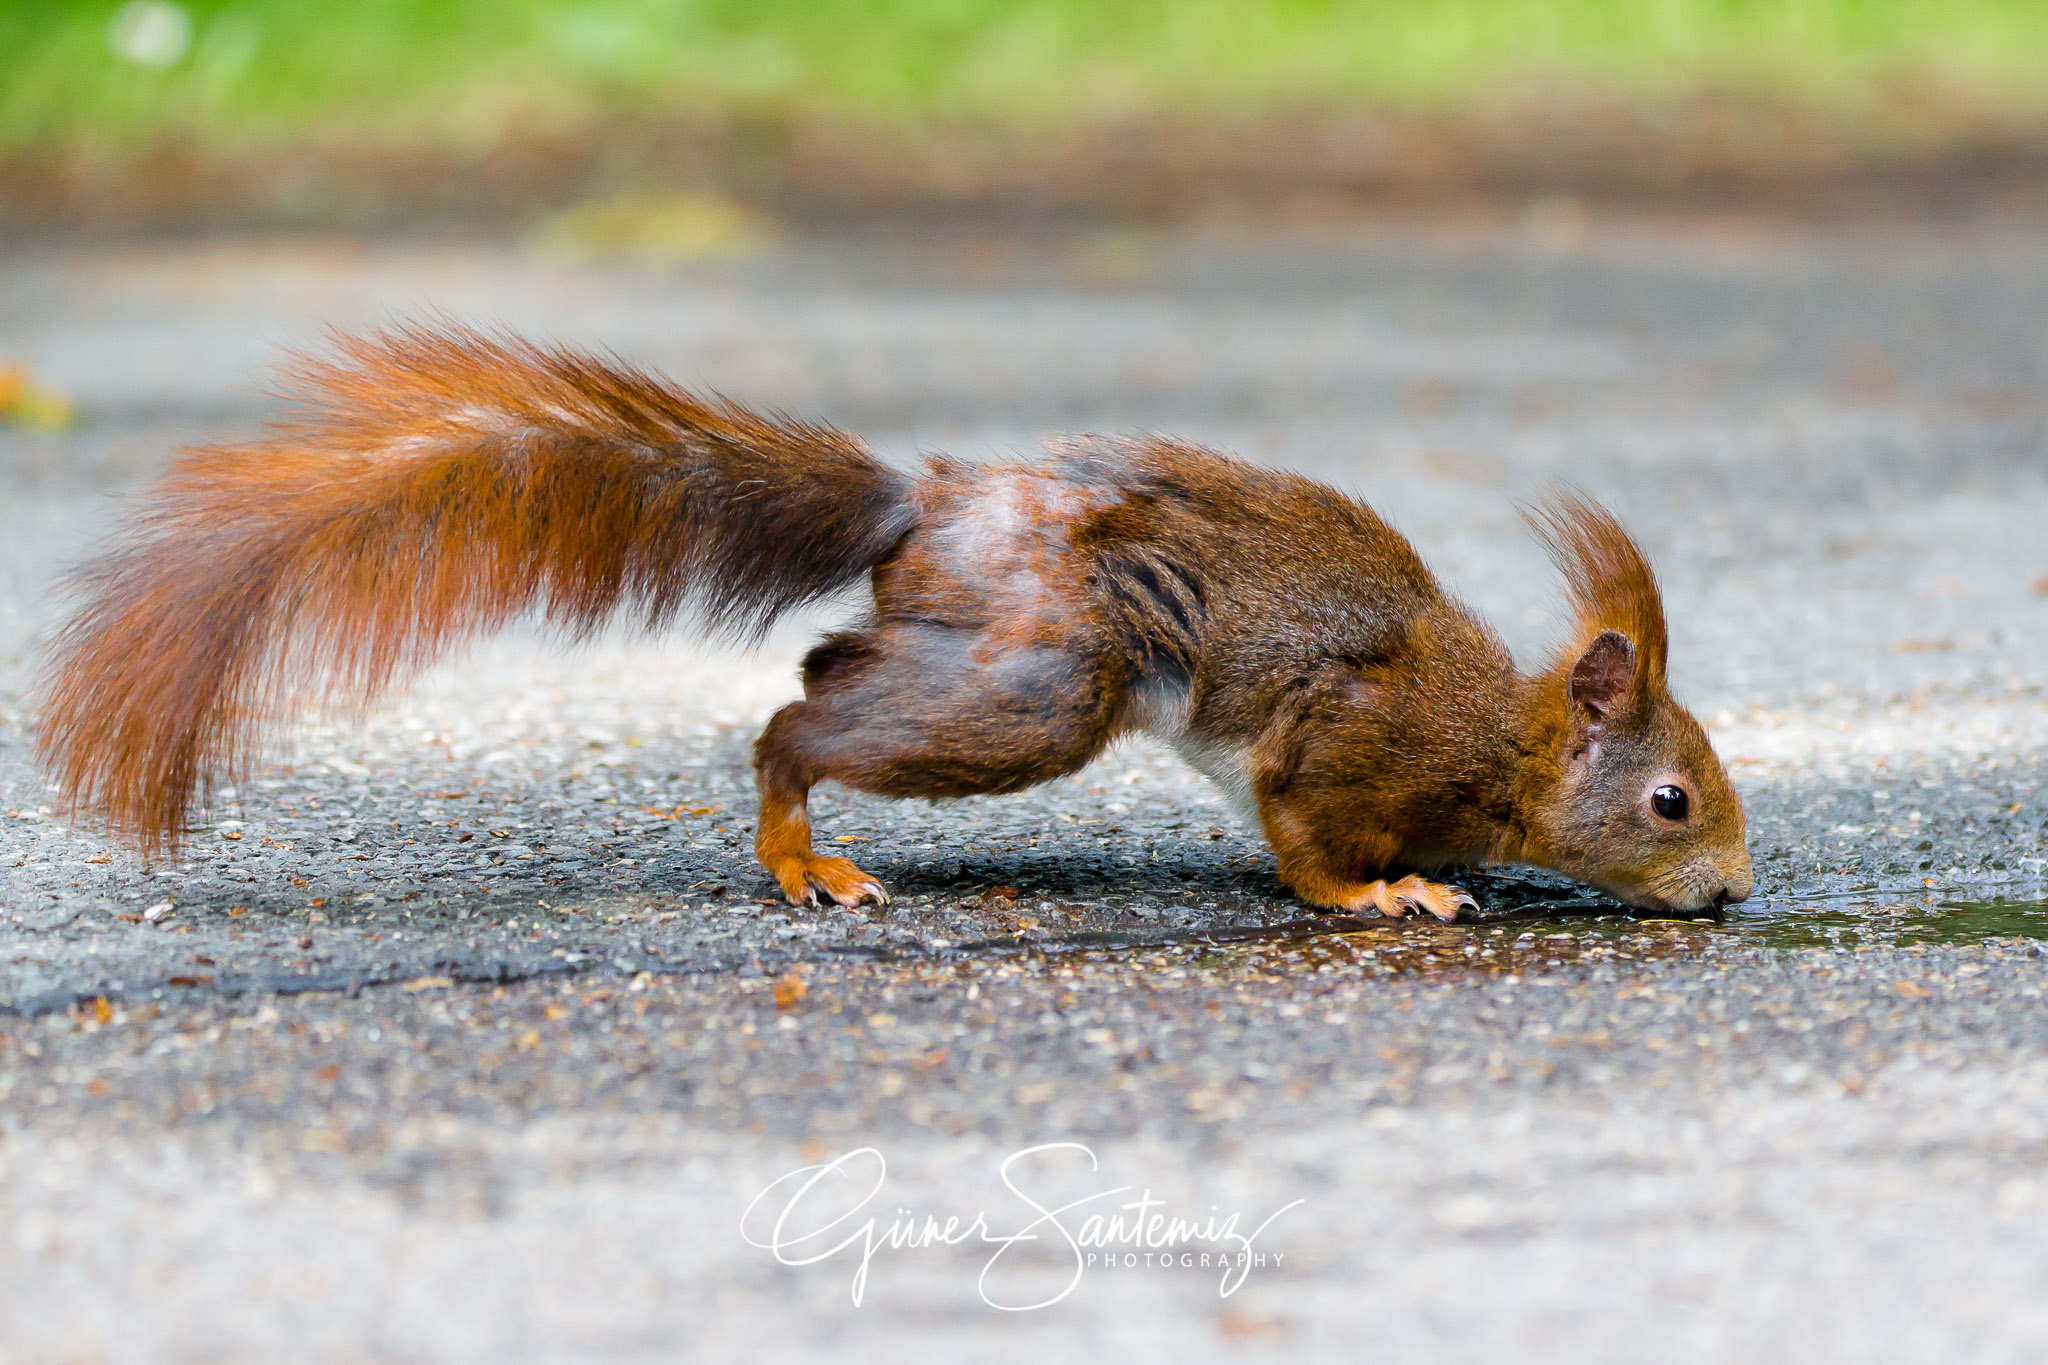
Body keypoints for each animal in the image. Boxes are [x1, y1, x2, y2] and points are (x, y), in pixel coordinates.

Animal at [37, 324, 1752, 920]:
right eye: (1672, 799)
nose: (1737, 892)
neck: (1503, 748)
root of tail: (930, 506)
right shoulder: (1347, 735)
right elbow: (1303, 842)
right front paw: (1383, 894)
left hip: (980, 655)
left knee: (825, 660)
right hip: (1045, 682)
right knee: (797, 711)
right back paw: (800, 852)